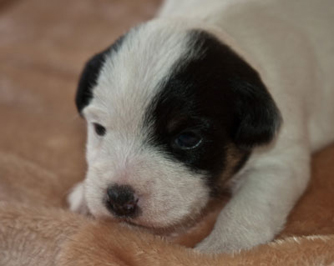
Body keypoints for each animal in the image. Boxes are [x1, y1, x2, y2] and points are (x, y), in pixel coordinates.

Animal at [69, 0, 334, 254]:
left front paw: (224, 245)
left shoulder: (280, 161)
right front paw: (83, 194)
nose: (119, 199)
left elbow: (248, 205)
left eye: (187, 138)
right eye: (99, 129)